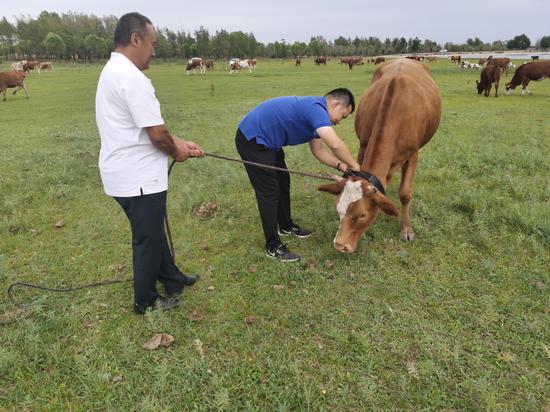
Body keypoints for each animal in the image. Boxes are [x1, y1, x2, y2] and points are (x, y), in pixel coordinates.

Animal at [316, 57, 442, 251]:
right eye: (338, 208)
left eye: (362, 215)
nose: (339, 245)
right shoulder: (363, 145)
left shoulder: (413, 154)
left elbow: (405, 193)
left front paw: (406, 229)